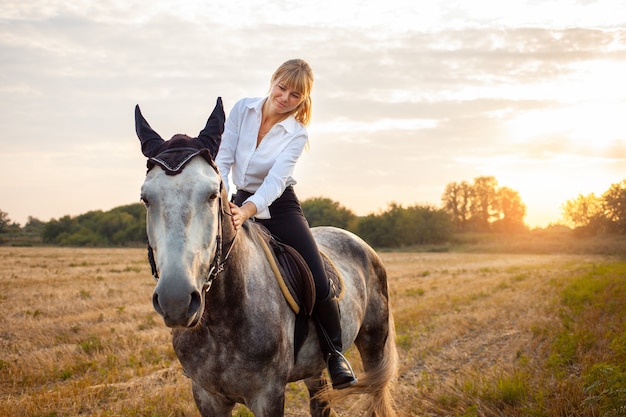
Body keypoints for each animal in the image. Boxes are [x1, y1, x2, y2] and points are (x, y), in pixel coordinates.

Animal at [134, 99, 394, 414]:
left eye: (212, 194)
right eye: (146, 198)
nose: (176, 300)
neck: (220, 319)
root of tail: (358, 242)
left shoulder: (267, 395)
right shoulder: (206, 395)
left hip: (374, 341)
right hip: (314, 366)